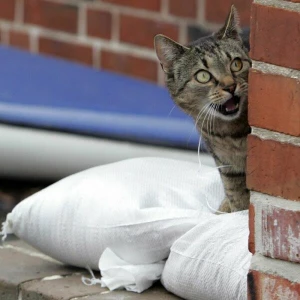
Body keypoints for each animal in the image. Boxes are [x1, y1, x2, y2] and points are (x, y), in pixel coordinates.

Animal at [155, 5, 251, 212]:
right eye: (203, 76)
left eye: (236, 64)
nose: (230, 86)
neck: (232, 134)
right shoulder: (227, 165)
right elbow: (237, 194)